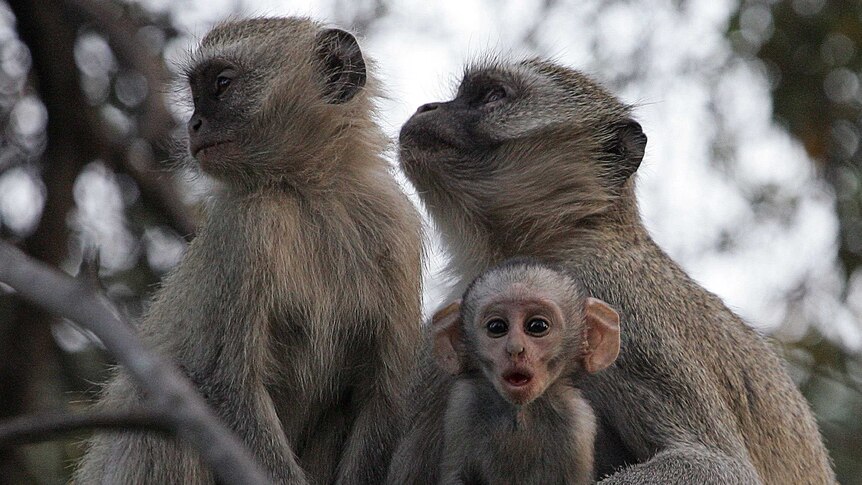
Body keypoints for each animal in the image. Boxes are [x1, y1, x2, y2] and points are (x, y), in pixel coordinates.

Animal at [75, 17, 426, 482]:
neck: (308, 190)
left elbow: (381, 399)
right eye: (197, 91)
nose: (193, 125)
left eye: (221, 84)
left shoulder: (396, 227)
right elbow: (231, 388)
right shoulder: (247, 230)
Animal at [438, 260, 620, 484]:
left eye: (537, 326)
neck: (521, 413)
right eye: (497, 327)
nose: (515, 349)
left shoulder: (578, 422)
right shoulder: (463, 407)